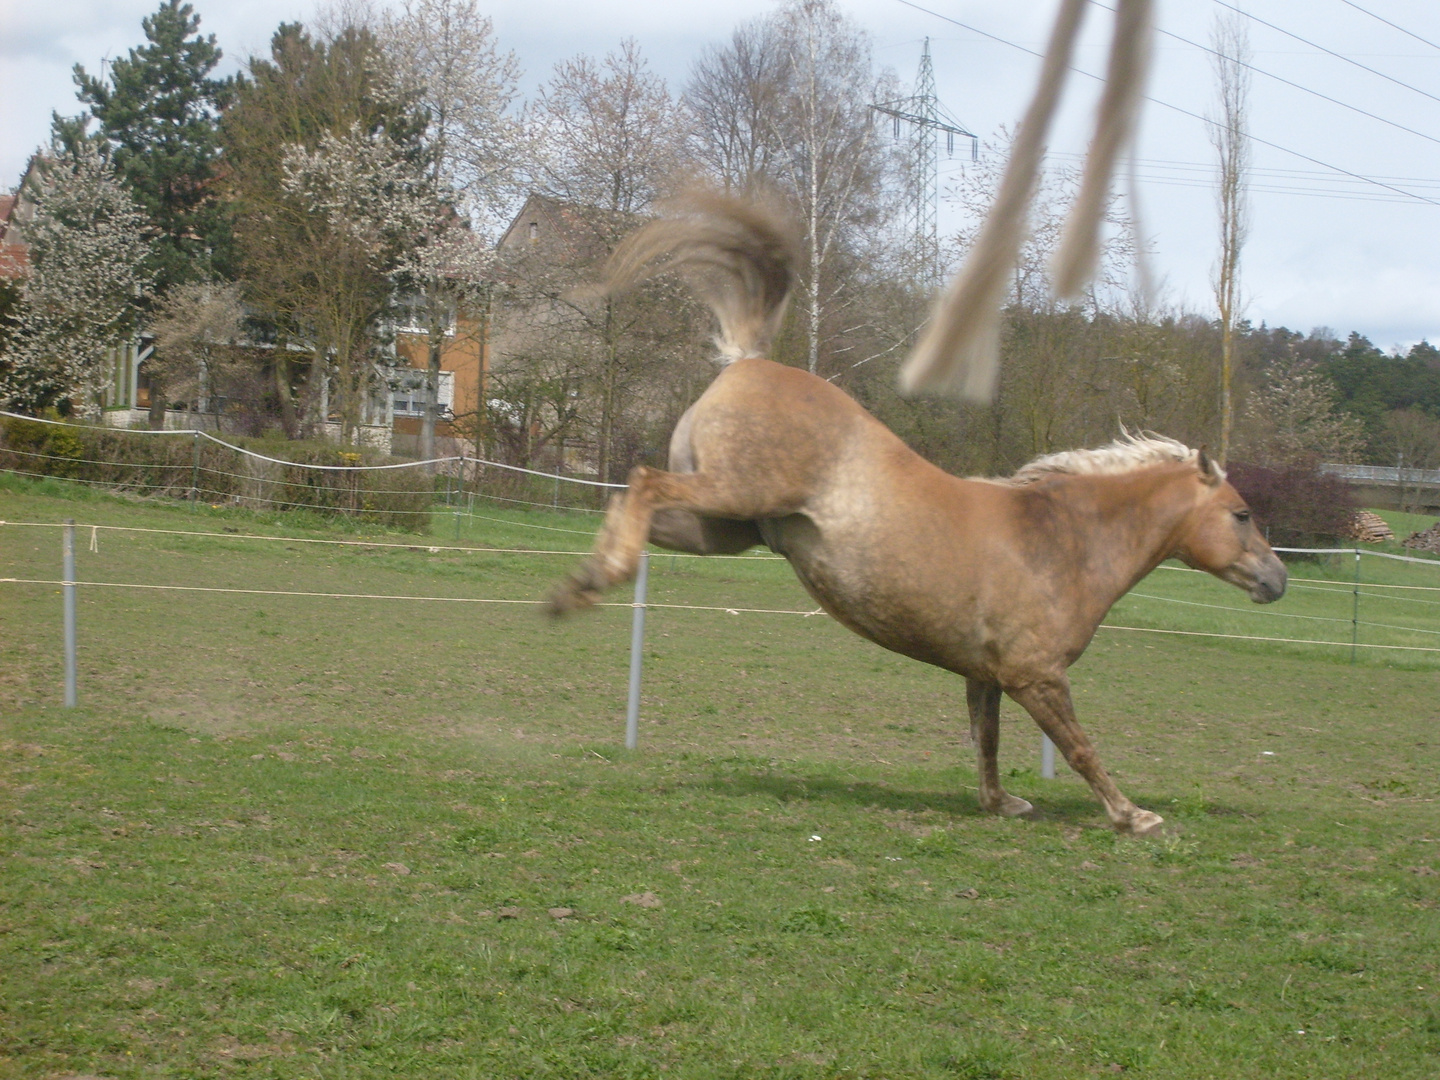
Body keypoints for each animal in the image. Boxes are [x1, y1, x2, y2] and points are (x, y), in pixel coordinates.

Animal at [547, 192, 1284, 835]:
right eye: (1243, 514)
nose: (1278, 580)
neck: (1060, 542)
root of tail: (749, 362)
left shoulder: (987, 674)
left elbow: (986, 739)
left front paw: (1002, 804)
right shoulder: (1037, 676)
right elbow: (1079, 747)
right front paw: (1134, 816)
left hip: (723, 528)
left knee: (630, 496)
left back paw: (577, 588)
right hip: (734, 493)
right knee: (643, 483)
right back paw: (600, 579)